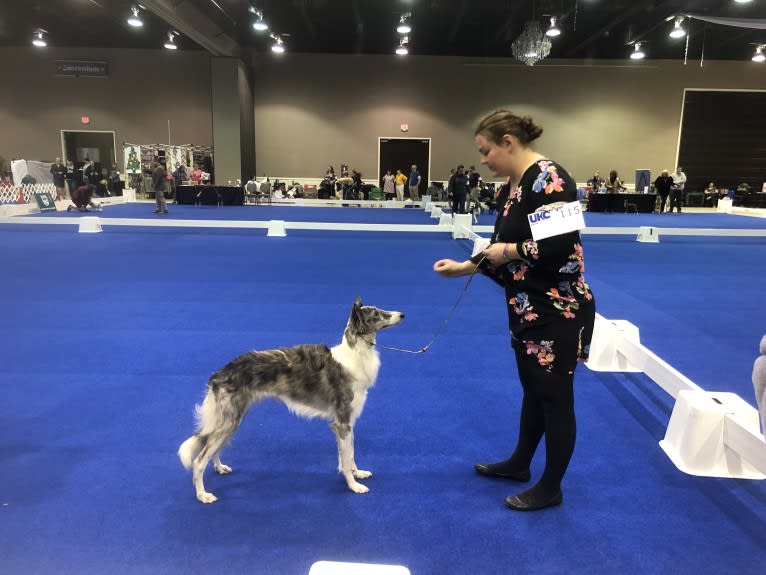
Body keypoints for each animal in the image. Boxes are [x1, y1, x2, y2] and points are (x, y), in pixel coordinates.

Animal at [178, 296, 404, 504]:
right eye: (377, 314)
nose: (402, 314)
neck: (355, 355)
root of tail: (219, 373)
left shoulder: (346, 423)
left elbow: (349, 455)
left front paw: (358, 474)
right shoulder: (342, 422)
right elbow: (347, 460)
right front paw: (354, 486)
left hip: (230, 420)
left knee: (211, 447)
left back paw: (219, 467)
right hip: (229, 420)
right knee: (199, 460)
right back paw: (202, 495)